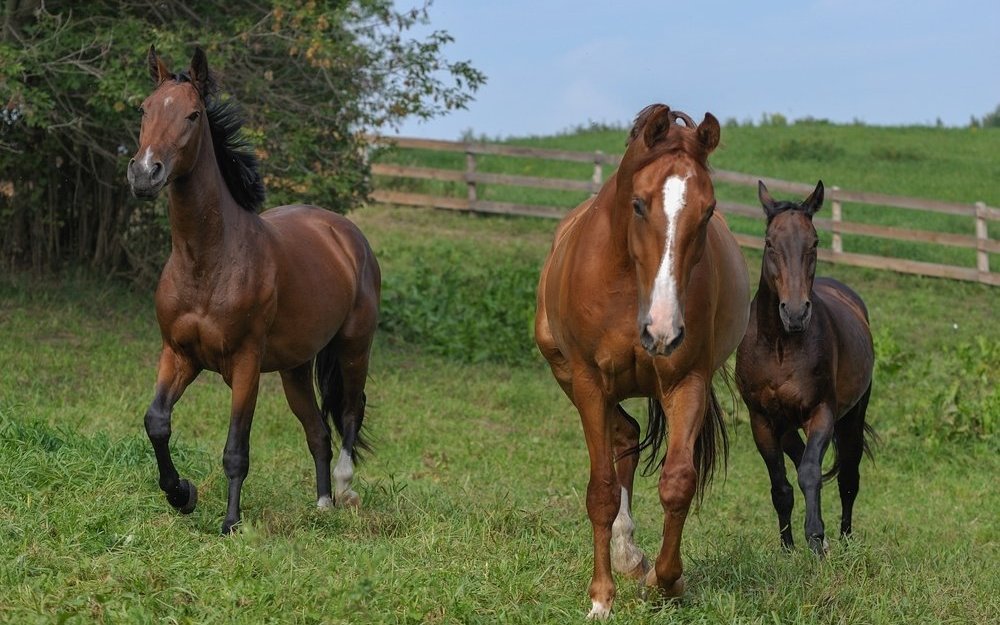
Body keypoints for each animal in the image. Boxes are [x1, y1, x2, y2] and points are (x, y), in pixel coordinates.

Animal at [126, 46, 381, 535]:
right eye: (144, 109)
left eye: (192, 115)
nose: (146, 173)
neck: (208, 261)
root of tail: (345, 234)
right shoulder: (178, 354)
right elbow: (157, 422)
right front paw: (181, 494)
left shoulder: (244, 365)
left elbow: (235, 450)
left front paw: (230, 523)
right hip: (295, 368)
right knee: (318, 431)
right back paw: (322, 504)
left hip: (353, 348)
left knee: (349, 411)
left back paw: (344, 490)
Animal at [535, 104, 750, 618]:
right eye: (638, 204)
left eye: (708, 211)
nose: (662, 330)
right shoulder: (590, 383)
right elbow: (601, 491)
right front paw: (600, 598)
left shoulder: (687, 381)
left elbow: (677, 483)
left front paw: (665, 581)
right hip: (569, 377)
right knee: (623, 439)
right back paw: (625, 554)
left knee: (629, 438)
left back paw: (634, 558)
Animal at [735, 180, 875, 554]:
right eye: (770, 242)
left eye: (814, 242)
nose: (796, 313)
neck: (780, 347)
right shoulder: (763, 420)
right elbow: (781, 485)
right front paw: (788, 547)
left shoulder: (821, 411)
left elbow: (811, 473)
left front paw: (815, 540)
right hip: (786, 426)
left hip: (852, 417)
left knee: (847, 477)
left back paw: (845, 539)